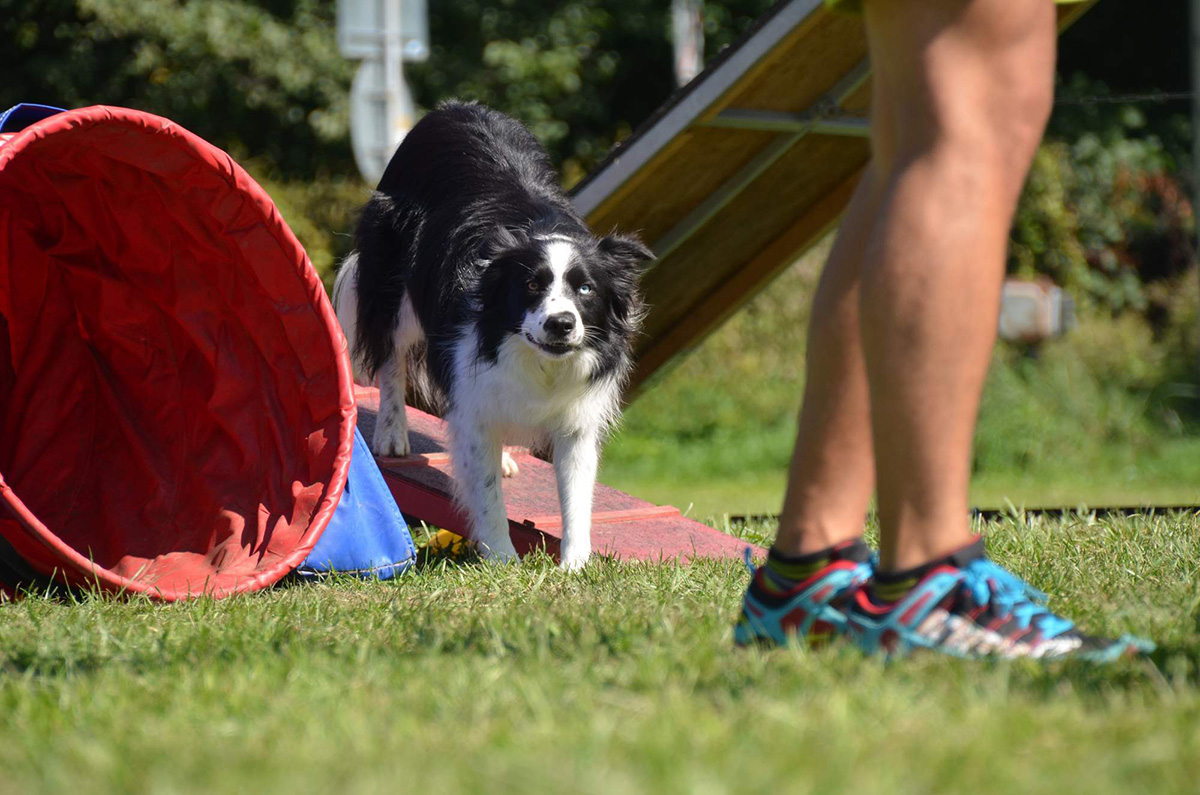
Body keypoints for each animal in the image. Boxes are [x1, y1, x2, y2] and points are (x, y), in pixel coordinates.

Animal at [328, 101, 652, 574]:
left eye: (586, 289)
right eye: (532, 285)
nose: (561, 324)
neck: (537, 358)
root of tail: (453, 108)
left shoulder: (575, 417)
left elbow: (576, 493)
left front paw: (574, 566)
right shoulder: (471, 390)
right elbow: (484, 491)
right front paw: (502, 559)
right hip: (393, 279)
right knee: (393, 357)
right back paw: (392, 433)